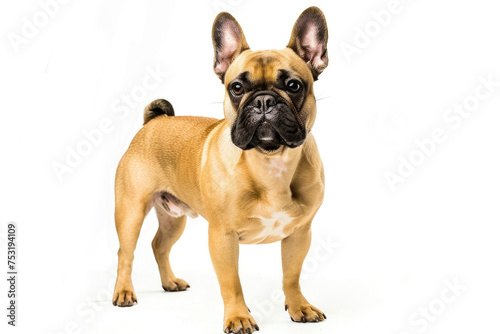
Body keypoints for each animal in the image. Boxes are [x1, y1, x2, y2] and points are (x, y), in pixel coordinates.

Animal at [114, 6, 328, 332]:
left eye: (294, 86)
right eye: (236, 88)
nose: (264, 100)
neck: (270, 161)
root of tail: (154, 122)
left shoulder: (299, 234)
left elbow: (292, 275)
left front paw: (299, 307)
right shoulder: (222, 237)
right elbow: (231, 282)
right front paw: (239, 316)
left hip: (174, 217)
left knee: (159, 245)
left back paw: (170, 282)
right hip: (131, 210)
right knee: (125, 252)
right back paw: (124, 292)